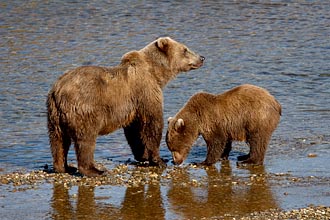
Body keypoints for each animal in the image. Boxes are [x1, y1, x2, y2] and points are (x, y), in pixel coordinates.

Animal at [46, 37, 204, 176]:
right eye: (185, 49)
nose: (202, 57)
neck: (156, 73)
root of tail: (58, 90)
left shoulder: (134, 105)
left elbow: (134, 131)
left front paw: (143, 156)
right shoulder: (146, 92)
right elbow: (152, 123)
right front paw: (159, 159)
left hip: (54, 115)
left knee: (58, 140)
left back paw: (64, 167)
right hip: (84, 108)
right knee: (86, 139)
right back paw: (94, 170)